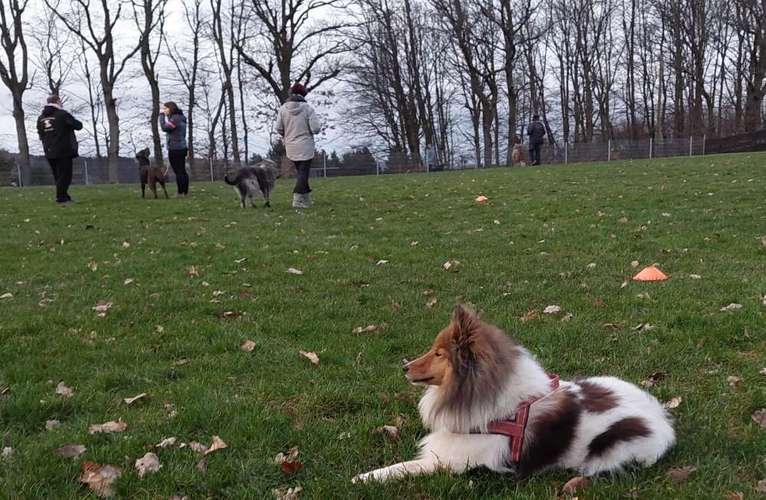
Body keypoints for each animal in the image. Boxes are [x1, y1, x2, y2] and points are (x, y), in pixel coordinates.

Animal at [356, 306, 680, 482]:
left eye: (438, 353)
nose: (404, 367)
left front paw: (365, 477)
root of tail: (661, 416)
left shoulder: (452, 462)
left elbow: (403, 467)